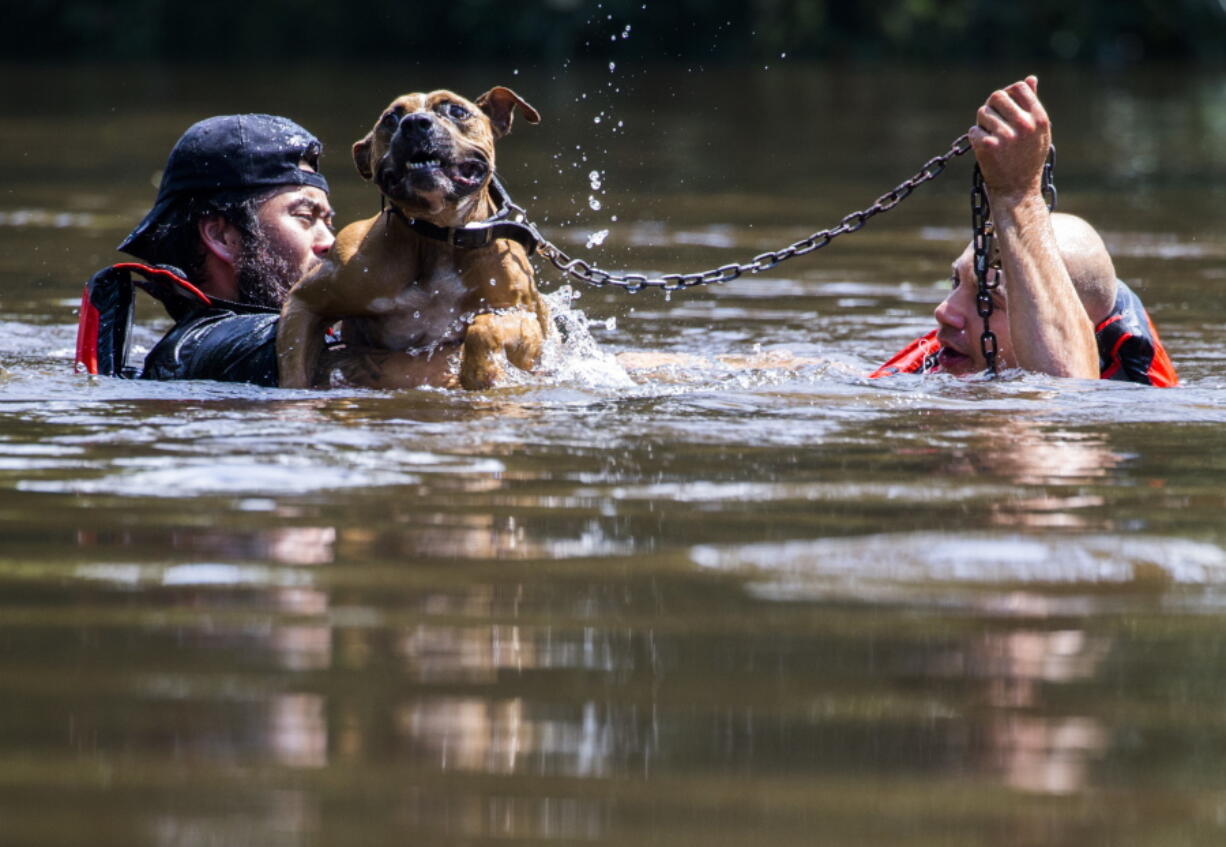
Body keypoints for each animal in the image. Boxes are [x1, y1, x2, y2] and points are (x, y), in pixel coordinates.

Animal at [280, 87, 549, 389]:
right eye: (390, 118)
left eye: (457, 111)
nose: (415, 123)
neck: (438, 236)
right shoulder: (310, 298)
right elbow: (294, 369)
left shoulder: (524, 318)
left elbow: (485, 328)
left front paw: (480, 372)